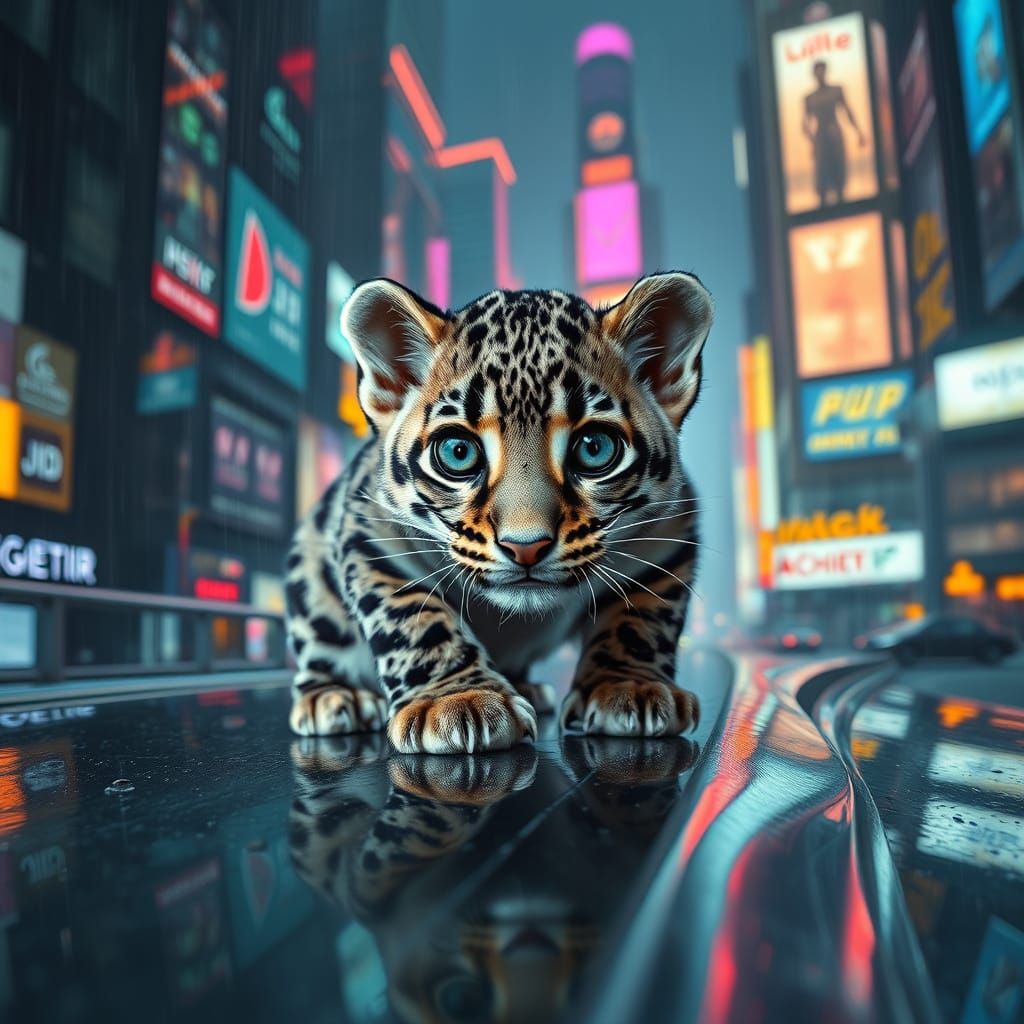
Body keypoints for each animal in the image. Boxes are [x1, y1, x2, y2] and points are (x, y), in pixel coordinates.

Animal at [284, 270, 713, 753]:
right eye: (458, 452)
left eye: (594, 448)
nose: (526, 547)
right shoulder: (373, 533)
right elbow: (414, 619)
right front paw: (458, 699)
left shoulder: (668, 535)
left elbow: (640, 618)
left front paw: (628, 685)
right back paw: (334, 697)